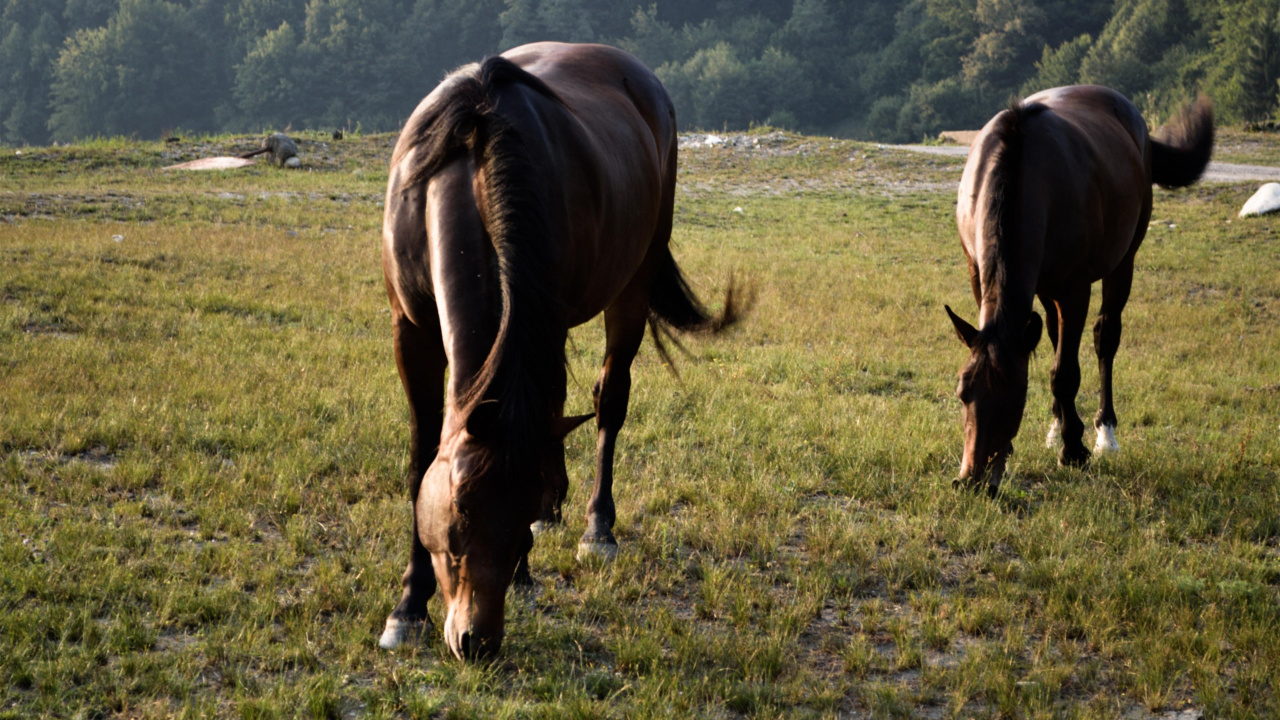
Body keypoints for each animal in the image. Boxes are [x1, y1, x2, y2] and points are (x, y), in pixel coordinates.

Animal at [377, 43, 744, 660]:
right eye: (458, 516)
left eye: (515, 512)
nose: (477, 641)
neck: (469, 165)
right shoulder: (412, 331)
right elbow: (421, 459)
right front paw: (407, 606)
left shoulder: (539, 323)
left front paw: (526, 564)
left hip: (632, 285)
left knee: (608, 400)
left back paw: (597, 529)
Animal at [945, 85, 1213, 494]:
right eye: (963, 393)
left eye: (1015, 397)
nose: (973, 480)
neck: (1025, 173)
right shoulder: (980, 276)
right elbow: (1054, 359)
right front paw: (1062, 435)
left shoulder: (1074, 289)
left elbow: (1065, 373)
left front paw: (1074, 451)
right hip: (1045, 288)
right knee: (1056, 337)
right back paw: (1058, 425)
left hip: (1122, 264)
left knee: (1105, 338)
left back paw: (1105, 434)